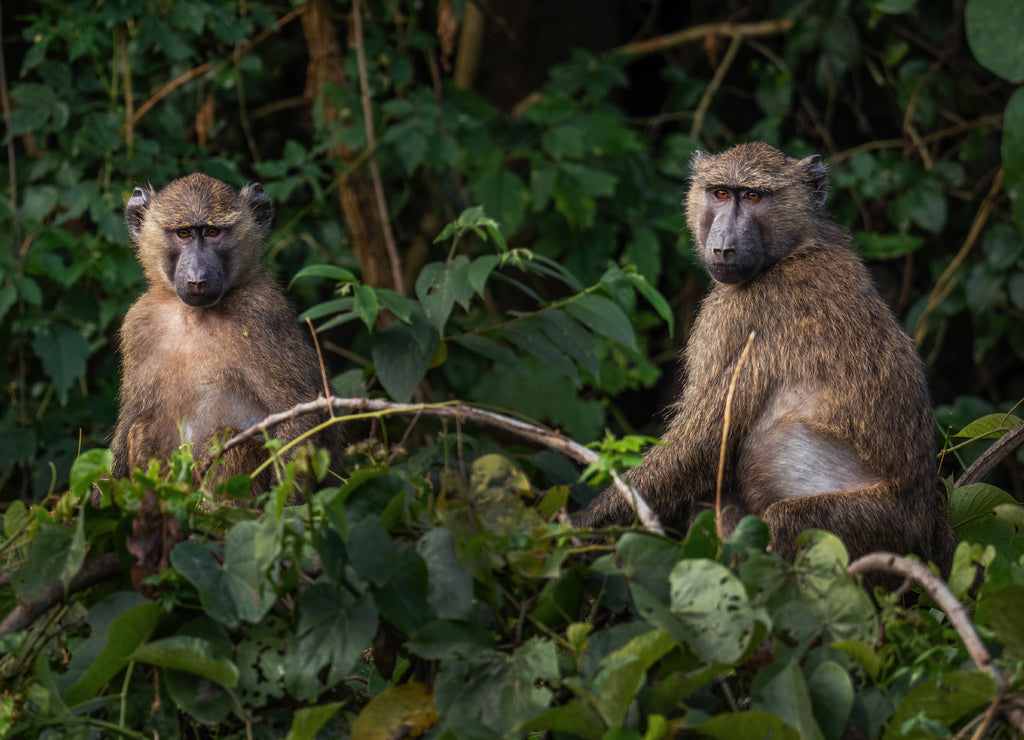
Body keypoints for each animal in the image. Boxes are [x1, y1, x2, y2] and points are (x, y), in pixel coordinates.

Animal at [109, 173, 344, 496]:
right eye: (183, 233)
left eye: (212, 232)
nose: (197, 278)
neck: (193, 315)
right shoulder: (138, 324)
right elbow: (130, 420)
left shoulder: (260, 315)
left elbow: (301, 415)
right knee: (141, 428)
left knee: (229, 441)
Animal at [577, 142, 958, 571]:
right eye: (720, 193)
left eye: (754, 196)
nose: (722, 247)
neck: (794, 251)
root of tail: (926, 520)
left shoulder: (734, 316)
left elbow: (698, 447)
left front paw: (578, 527)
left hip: (876, 526)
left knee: (781, 522)